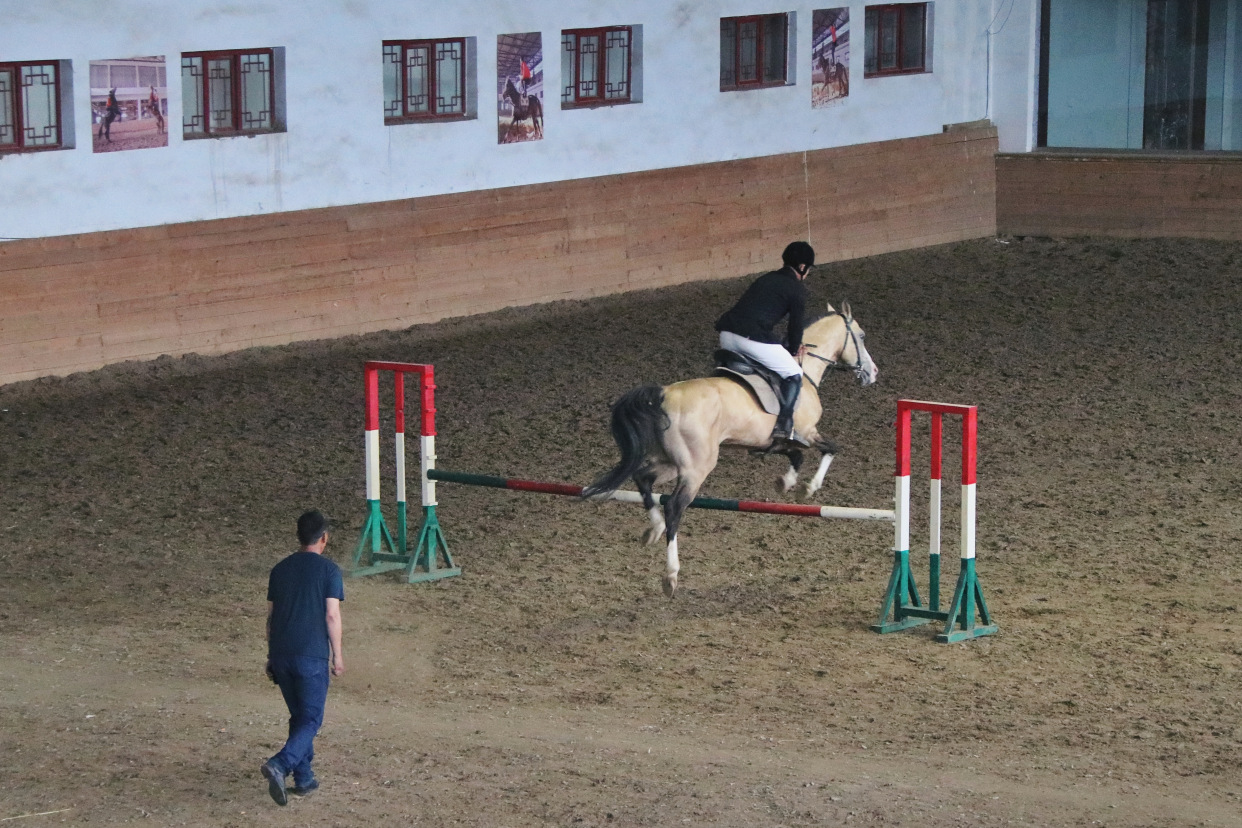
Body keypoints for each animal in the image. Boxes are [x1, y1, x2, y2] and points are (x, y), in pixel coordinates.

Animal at [578, 302, 874, 595]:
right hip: (697, 467)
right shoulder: (808, 433)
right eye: (861, 336)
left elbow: (797, 455)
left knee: (643, 479)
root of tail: (663, 394)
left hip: (670, 462)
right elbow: (830, 449)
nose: (872, 373)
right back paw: (671, 574)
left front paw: (787, 482)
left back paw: (654, 530)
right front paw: (809, 487)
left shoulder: (770, 443)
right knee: (674, 506)